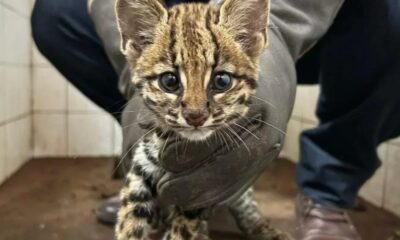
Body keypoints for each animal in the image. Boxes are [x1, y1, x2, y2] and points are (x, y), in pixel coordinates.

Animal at [114, 0, 290, 239]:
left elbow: (181, 229)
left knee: (248, 207)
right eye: (169, 81)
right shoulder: (142, 169)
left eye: (222, 80)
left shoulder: (201, 188)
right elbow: (129, 221)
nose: (195, 116)